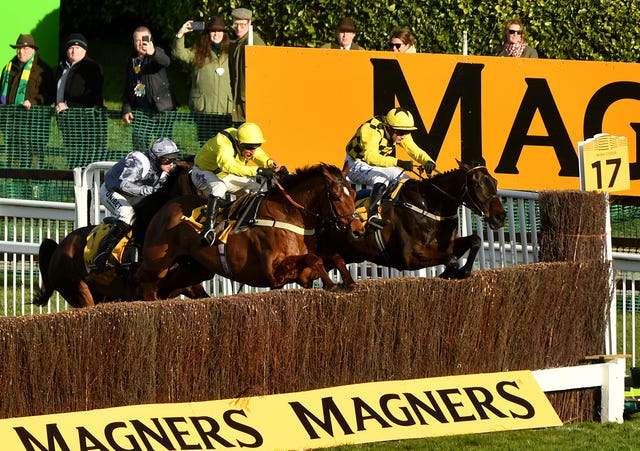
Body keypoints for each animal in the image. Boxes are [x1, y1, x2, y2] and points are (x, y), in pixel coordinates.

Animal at [130, 162, 364, 300]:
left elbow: (332, 257)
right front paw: (332, 284)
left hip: (195, 268)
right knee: (140, 277)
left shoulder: (300, 275)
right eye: (336, 197)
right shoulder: (274, 271)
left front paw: (348, 282)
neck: (288, 214)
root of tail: (166, 205)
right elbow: (313, 258)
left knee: (168, 285)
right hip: (156, 261)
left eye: (353, 194)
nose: (358, 230)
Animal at [322, 158, 508, 278]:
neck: (429, 205)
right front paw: (450, 273)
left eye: (495, 182)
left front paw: (462, 272)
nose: (500, 216)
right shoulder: (408, 257)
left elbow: (474, 240)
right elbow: (452, 260)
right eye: (477, 184)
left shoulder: (447, 246)